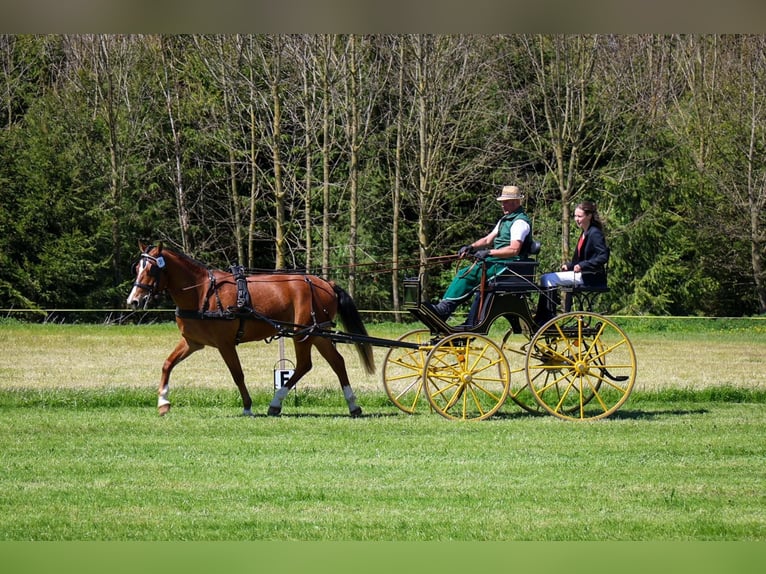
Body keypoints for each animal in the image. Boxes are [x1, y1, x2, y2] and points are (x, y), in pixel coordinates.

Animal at [125, 243, 376, 418]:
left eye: (151, 269)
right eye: (137, 268)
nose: (133, 301)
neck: (203, 292)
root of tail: (326, 283)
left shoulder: (225, 343)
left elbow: (237, 374)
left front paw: (247, 406)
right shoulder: (192, 342)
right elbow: (167, 364)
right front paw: (163, 403)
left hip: (303, 334)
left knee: (305, 364)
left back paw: (276, 403)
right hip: (317, 333)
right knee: (336, 362)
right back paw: (353, 405)